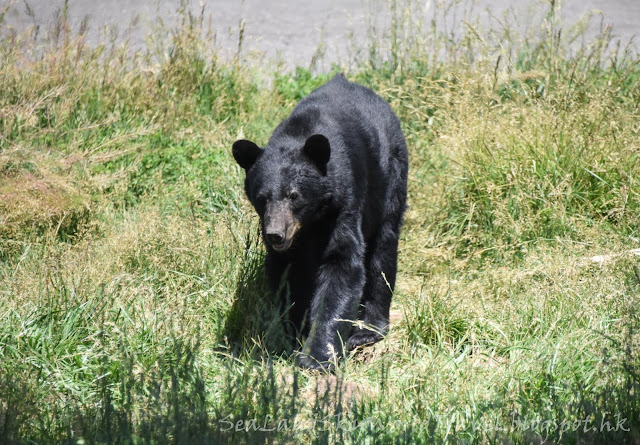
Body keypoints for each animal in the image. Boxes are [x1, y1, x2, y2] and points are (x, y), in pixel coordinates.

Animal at [232, 73, 408, 372]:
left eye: (294, 196)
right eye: (261, 197)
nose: (275, 234)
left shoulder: (344, 201)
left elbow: (342, 264)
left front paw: (318, 356)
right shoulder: (292, 243)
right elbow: (287, 274)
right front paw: (293, 333)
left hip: (390, 179)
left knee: (383, 249)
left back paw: (367, 329)